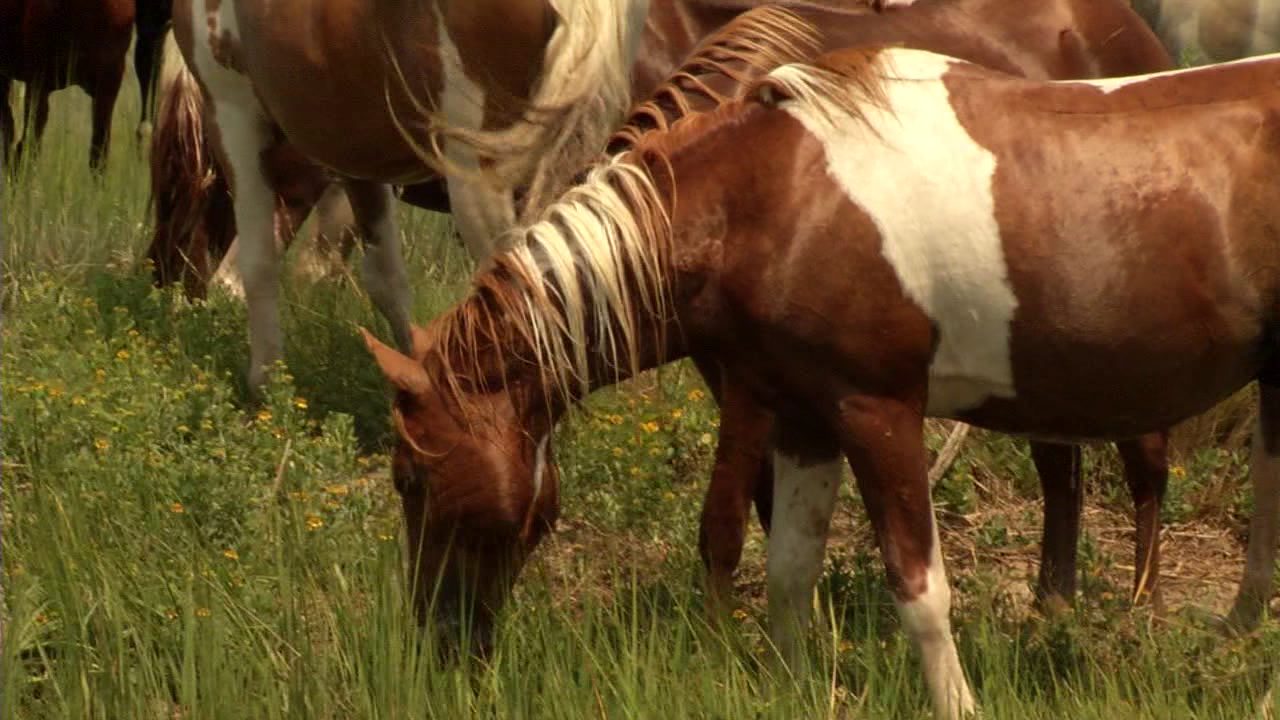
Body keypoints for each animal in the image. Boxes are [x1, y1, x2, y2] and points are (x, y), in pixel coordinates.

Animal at [360, 49, 1280, 717]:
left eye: (411, 478)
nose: (438, 642)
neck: (771, 202)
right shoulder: (803, 418)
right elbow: (789, 570)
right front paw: (788, 684)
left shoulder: (878, 414)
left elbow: (919, 587)